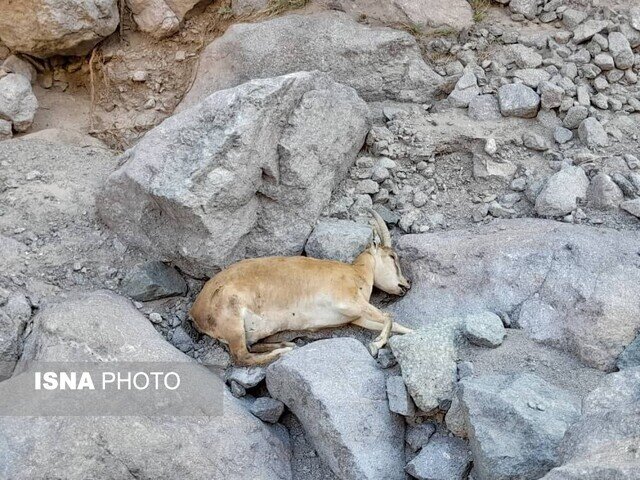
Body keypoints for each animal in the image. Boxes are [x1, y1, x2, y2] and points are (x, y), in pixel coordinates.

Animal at [190, 210, 412, 364]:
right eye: (392, 257)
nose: (406, 285)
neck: (357, 274)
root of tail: (195, 312)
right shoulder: (349, 301)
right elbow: (389, 317)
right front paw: (375, 345)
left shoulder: (356, 316)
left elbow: (393, 323)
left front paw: (412, 332)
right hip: (233, 320)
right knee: (241, 356)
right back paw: (284, 350)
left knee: (250, 348)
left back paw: (285, 343)